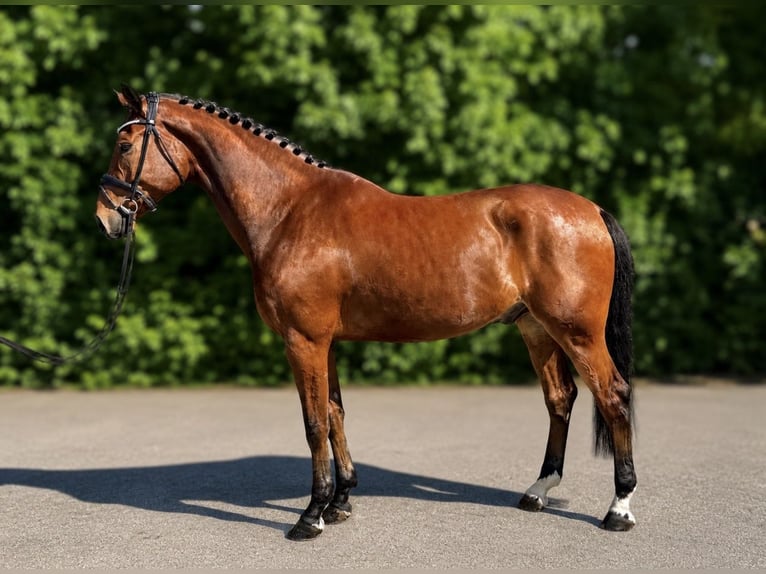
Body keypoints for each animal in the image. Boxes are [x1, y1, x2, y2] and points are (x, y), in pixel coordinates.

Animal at [95, 86, 637, 541]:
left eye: (124, 144)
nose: (105, 218)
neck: (289, 211)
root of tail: (592, 210)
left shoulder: (303, 340)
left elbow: (314, 422)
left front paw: (310, 517)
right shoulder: (326, 342)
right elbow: (335, 413)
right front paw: (340, 502)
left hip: (577, 332)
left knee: (613, 396)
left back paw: (619, 509)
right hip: (536, 328)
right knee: (560, 399)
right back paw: (538, 492)